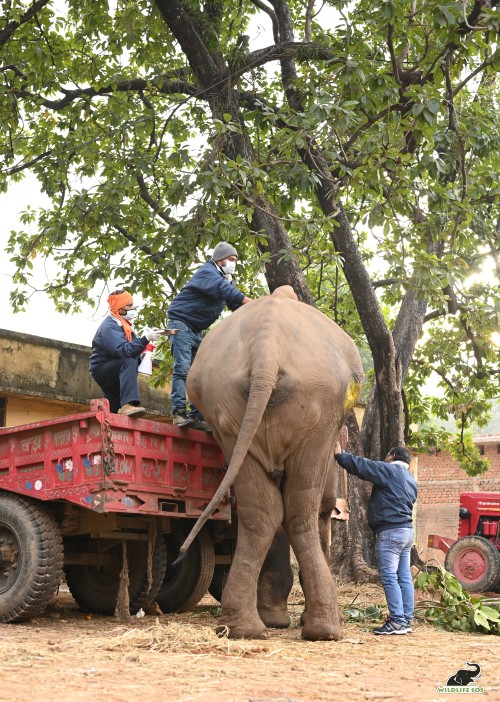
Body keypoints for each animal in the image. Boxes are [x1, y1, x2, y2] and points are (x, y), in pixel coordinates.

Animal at [178, 288, 362, 644]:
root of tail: (267, 348)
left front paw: (275, 619)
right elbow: (319, 510)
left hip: (227, 412)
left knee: (262, 511)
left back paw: (243, 629)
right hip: (318, 412)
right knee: (300, 511)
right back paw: (324, 630)